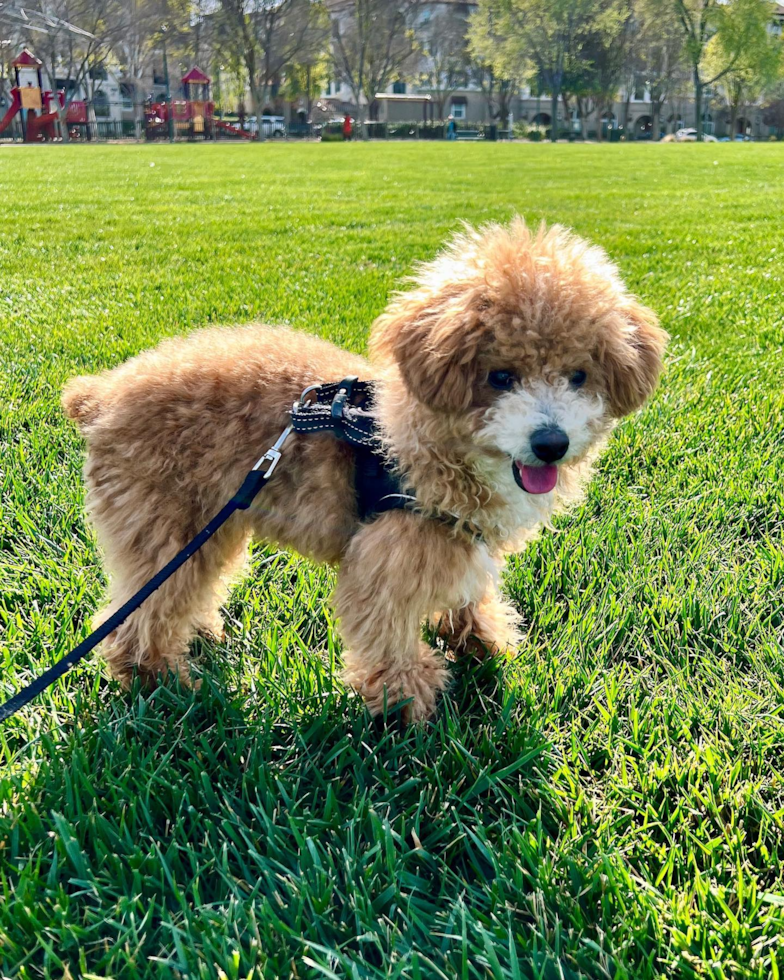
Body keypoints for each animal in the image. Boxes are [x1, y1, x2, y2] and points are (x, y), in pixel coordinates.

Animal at [62, 220, 668, 720]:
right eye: (500, 377)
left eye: (579, 375)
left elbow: (469, 595)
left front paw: (481, 641)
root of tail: (102, 397)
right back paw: (158, 682)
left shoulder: (459, 538)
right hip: (163, 519)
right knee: (141, 611)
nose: (551, 443)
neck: (417, 439)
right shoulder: (388, 553)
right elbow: (388, 633)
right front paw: (408, 706)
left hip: (212, 519)